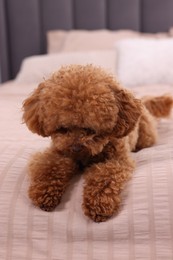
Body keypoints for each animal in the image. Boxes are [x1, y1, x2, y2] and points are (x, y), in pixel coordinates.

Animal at [22, 64, 172, 221]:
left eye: (91, 130)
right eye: (62, 128)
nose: (76, 148)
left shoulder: (116, 161)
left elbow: (103, 178)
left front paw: (98, 205)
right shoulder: (58, 154)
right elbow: (50, 168)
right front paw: (45, 194)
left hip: (146, 136)